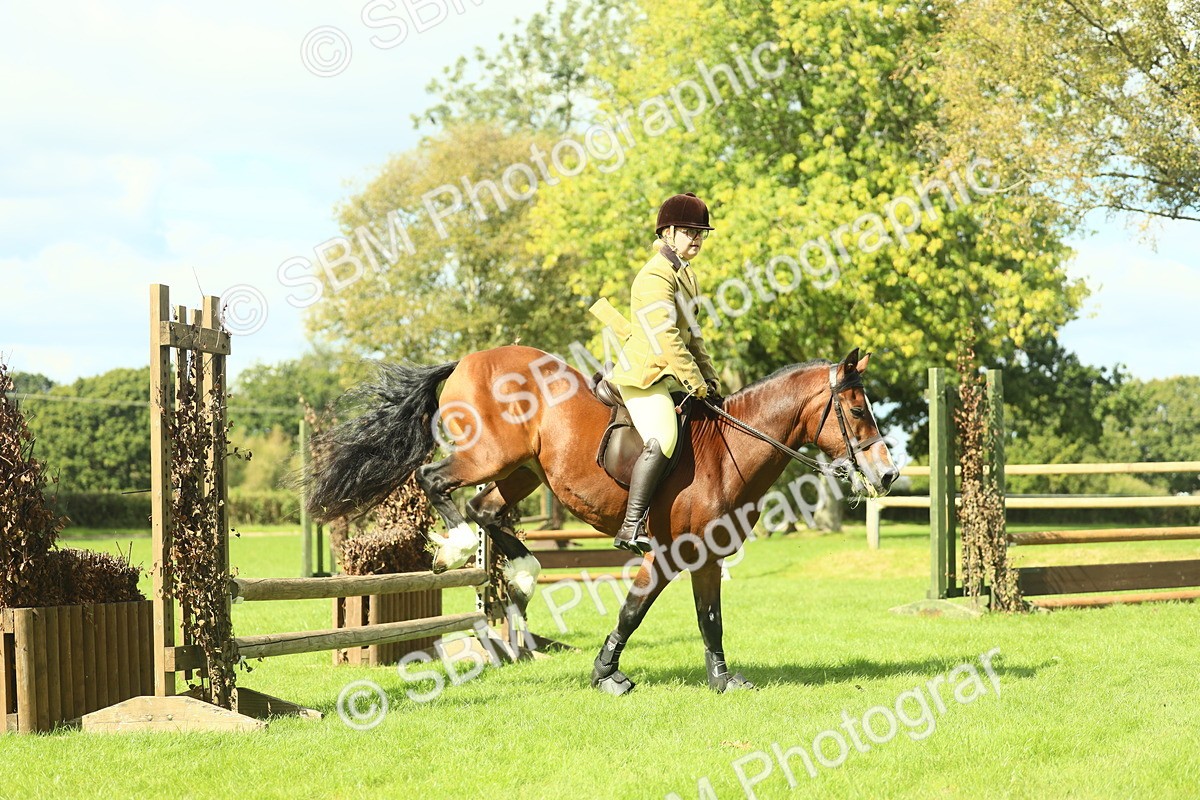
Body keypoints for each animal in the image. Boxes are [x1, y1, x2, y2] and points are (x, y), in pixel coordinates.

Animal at [303, 344, 898, 694]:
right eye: (858, 410)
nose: (888, 475)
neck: (729, 449)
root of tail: (467, 360)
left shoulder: (707, 558)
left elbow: (710, 619)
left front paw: (723, 680)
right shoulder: (667, 555)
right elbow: (632, 613)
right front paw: (606, 675)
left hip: (524, 470)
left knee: (485, 509)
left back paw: (522, 577)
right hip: (489, 455)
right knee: (436, 482)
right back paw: (456, 546)